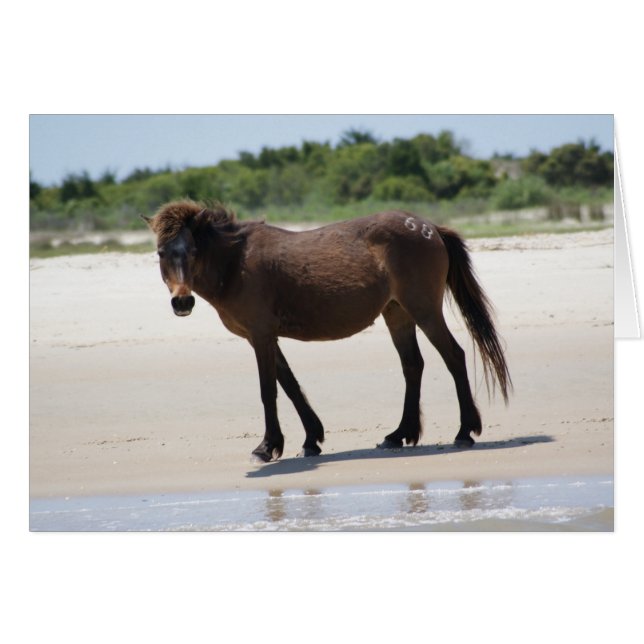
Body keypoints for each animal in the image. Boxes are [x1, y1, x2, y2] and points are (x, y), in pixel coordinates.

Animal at [142, 200, 511, 463]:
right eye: (161, 252)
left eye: (192, 251)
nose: (182, 301)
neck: (236, 265)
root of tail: (430, 227)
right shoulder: (263, 337)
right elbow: (290, 385)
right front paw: (311, 439)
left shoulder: (261, 335)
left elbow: (268, 390)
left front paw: (267, 447)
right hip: (397, 314)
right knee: (412, 366)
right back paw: (398, 434)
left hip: (424, 310)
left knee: (454, 356)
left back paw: (464, 431)